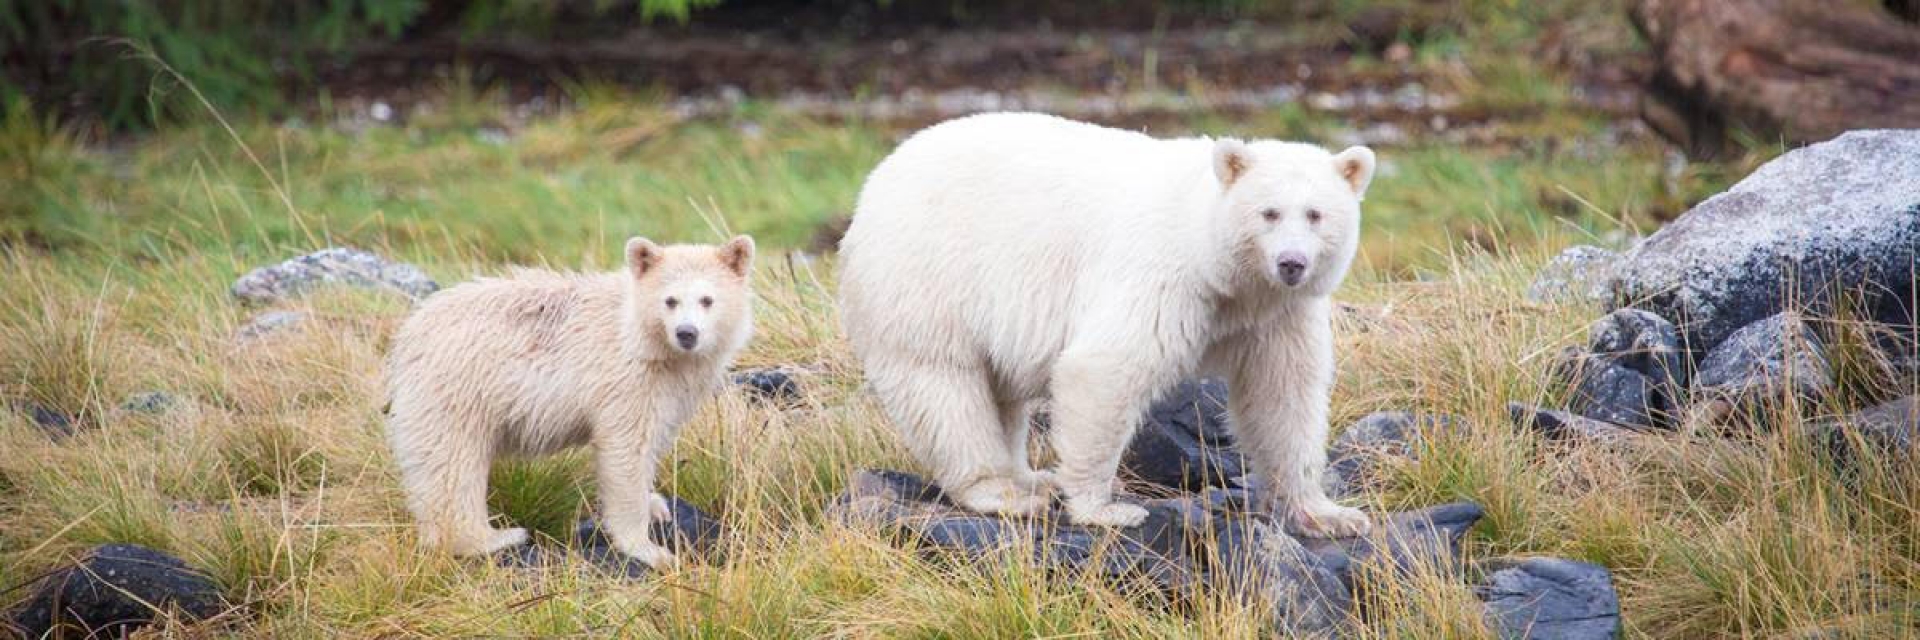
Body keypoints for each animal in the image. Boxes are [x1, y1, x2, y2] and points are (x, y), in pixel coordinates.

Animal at [385, 236, 752, 565]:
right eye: (670, 300)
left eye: (707, 299)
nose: (686, 333)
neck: (639, 335)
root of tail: (407, 336)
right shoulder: (625, 380)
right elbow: (626, 450)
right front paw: (650, 550)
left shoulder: (671, 388)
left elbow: (653, 440)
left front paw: (657, 505)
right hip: (459, 388)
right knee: (451, 463)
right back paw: (494, 538)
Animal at [844, 110, 1382, 534]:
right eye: (1269, 213)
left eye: (1315, 214)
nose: (1291, 263)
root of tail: (871, 188)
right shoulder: (1165, 277)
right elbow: (1105, 368)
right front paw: (1104, 509)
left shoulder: (1276, 314)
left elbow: (1284, 395)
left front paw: (1330, 515)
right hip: (928, 278)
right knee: (944, 387)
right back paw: (1005, 491)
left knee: (999, 392)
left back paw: (1029, 476)